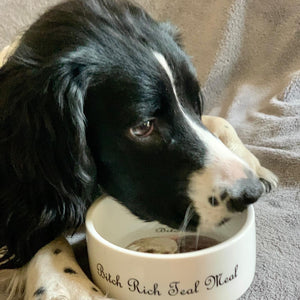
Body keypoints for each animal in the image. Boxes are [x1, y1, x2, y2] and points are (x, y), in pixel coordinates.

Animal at [0, 0, 276, 298]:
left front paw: (252, 162)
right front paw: (73, 287)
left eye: (195, 101)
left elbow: (217, 121)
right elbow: (43, 237)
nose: (250, 193)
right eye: (143, 127)